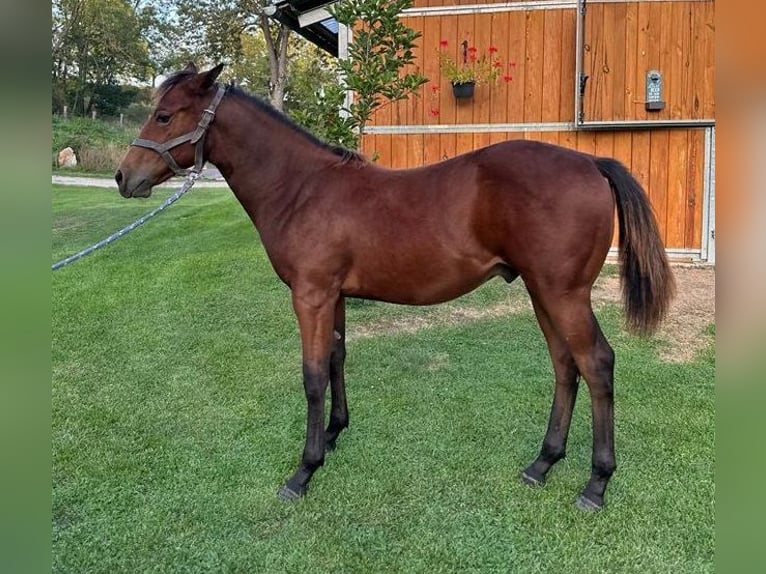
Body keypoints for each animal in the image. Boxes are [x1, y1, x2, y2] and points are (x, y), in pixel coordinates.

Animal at [115, 64, 680, 512]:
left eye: (164, 116)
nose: (123, 177)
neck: (303, 188)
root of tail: (591, 163)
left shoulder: (311, 295)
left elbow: (312, 376)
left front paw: (304, 470)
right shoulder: (334, 296)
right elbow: (337, 359)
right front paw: (335, 434)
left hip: (563, 294)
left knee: (597, 363)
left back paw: (595, 484)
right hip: (544, 293)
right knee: (566, 365)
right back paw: (542, 464)